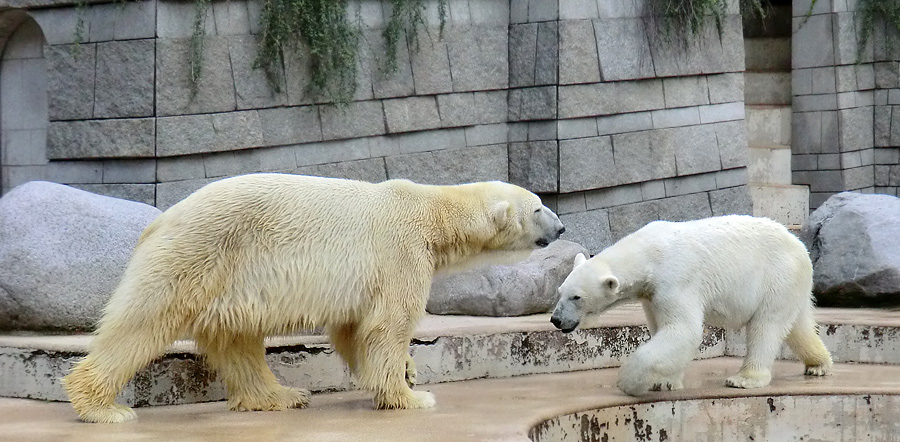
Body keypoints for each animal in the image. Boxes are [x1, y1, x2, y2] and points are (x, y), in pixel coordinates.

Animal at [65, 172, 564, 422]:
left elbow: (353, 328)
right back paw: (102, 407)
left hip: (229, 277)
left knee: (236, 337)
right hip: (201, 253)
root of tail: (160, 220)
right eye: (539, 206)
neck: (431, 211)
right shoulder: (400, 251)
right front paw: (411, 397)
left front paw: (407, 372)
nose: (561, 227)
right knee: (144, 321)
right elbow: (387, 325)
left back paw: (280, 395)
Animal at [552, 215, 832, 398]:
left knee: (766, 326)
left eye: (577, 297)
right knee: (797, 325)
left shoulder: (676, 279)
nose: (556, 319)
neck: (648, 253)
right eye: (559, 292)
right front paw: (664, 382)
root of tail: (801, 246)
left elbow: (683, 330)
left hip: (776, 275)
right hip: (790, 285)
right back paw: (818, 365)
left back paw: (744, 379)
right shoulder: (651, 294)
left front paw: (629, 381)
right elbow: (661, 328)